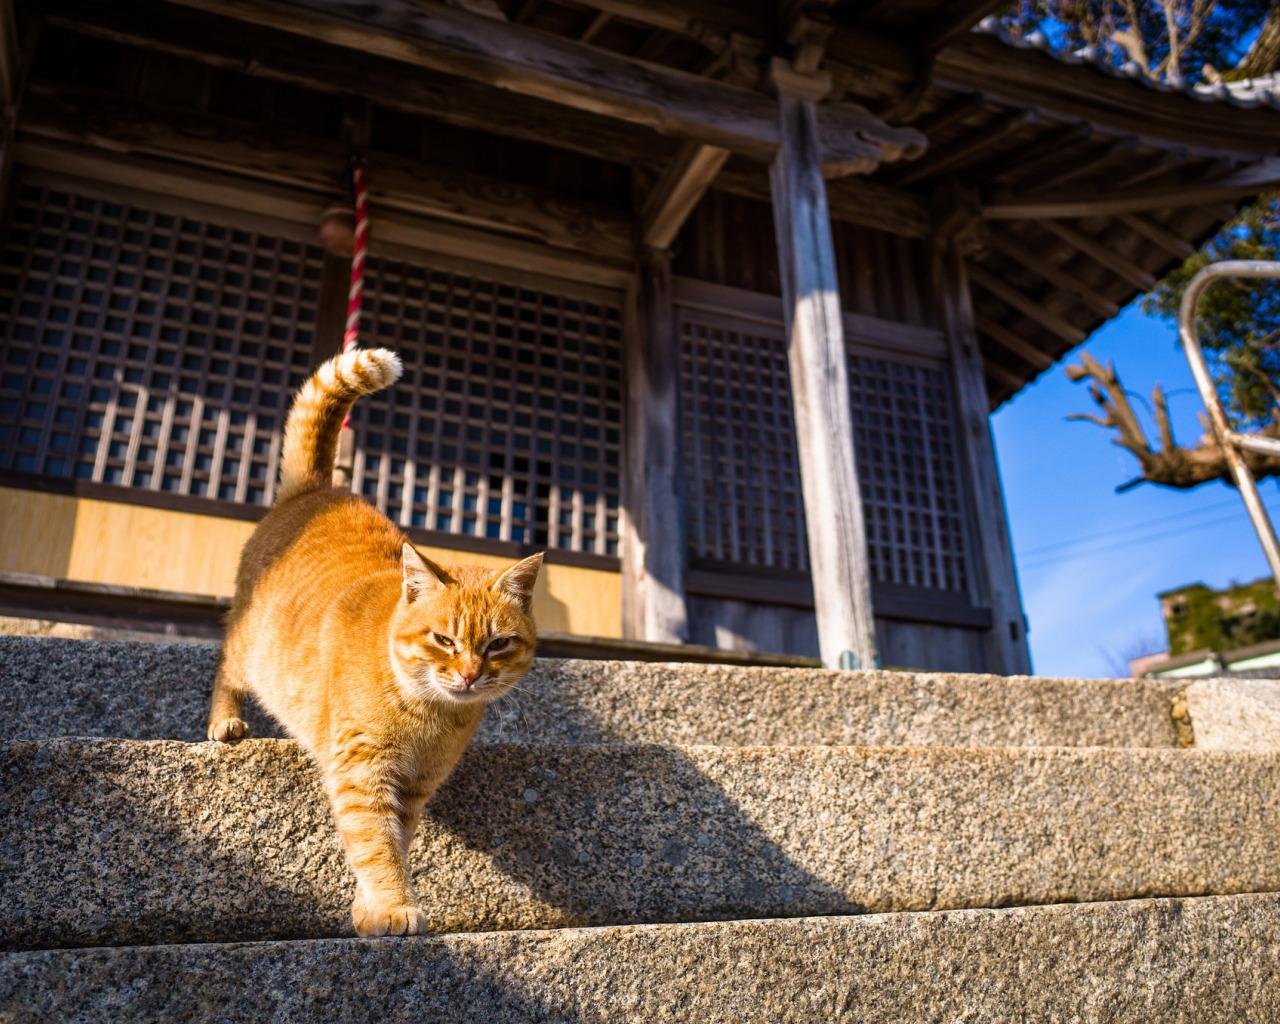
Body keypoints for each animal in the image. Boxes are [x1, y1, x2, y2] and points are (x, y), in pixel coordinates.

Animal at [203, 350, 540, 936]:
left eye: (497, 645)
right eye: (444, 640)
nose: (471, 674)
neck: (429, 718)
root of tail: (319, 487)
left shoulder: (413, 788)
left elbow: (395, 843)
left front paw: (371, 907)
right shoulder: (364, 772)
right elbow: (375, 845)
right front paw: (392, 906)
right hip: (249, 648)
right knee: (227, 668)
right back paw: (225, 722)